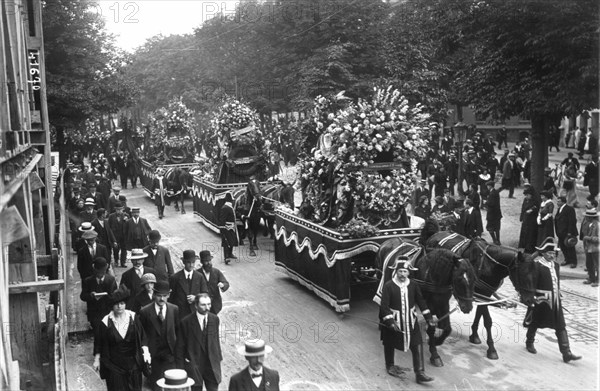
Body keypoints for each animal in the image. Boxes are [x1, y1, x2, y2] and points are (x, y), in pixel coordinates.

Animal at [376, 240, 474, 370]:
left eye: (474, 279)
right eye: (458, 279)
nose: (468, 307)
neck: (431, 274)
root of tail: (387, 241)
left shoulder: (443, 304)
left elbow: (447, 328)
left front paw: (437, 341)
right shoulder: (427, 304)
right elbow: (431, 327)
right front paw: (435, 354)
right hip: (380, 279)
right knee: (383, 301)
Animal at [424, 230, 536, 362]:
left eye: (535, 273)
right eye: (522, 273)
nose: (530, 300)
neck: (490, 265)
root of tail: (435, 234)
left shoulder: (484, 295)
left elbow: (479, 314)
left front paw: (474, 335)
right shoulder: (481, 295)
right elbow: (487, 321)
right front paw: (491, 349)